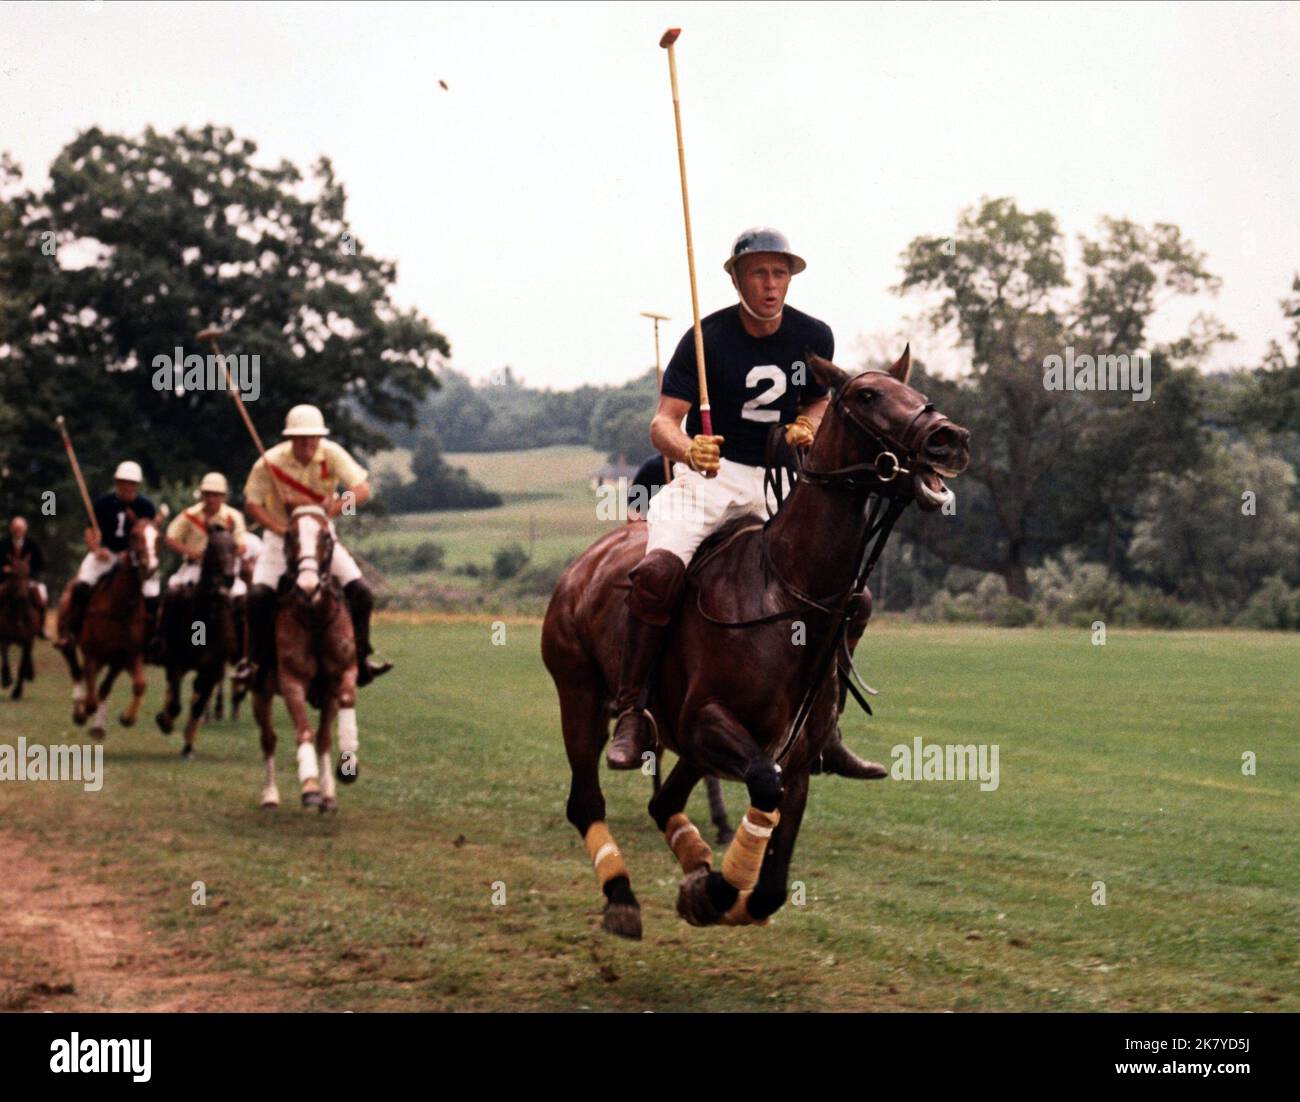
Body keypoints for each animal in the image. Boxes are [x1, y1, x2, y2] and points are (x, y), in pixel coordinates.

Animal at [0, 556, 38, 701]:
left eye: (28, 573)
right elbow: (5, 657)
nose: (22, 596)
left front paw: (17, 692)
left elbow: (22, 666)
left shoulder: (27, 641)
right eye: (13, 574)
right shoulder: (4, 638)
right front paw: (6, 679)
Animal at [57, 517, 160, 738]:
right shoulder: (92, 654)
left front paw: (124, 719)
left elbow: (135, 685)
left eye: (158, 537)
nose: (150, 567)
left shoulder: (125, 656)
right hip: (67, 638)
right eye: (134, 535)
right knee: (75, 667)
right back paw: (78, 709)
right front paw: (84, 712)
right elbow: (91, 699)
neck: (120, 606)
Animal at [252, 506, 361, 810]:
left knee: (321, 738)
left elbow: (339, 712)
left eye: (326, 537)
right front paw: (310, 786)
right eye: (290, 536)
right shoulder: (292, 682)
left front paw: (346, 767)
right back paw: (270, 795)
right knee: (268, 739)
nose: (308, 587)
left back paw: (328, 794)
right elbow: (303, 731)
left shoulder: (343, 675)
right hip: (260, 692)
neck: (315, 617)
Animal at [543, 350, 972, 940]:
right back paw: (622, 895)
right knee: (586, 801)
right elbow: (763, 789)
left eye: (918, 394)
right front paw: (716, 891)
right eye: (867, 396)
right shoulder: (708, 720)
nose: (950, 438)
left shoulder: (795, 757)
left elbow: (771, 881)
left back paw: (695, 855)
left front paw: (712, 889)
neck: (789, 591)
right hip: (579, 694)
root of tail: (583, 563)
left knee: (664, 802)